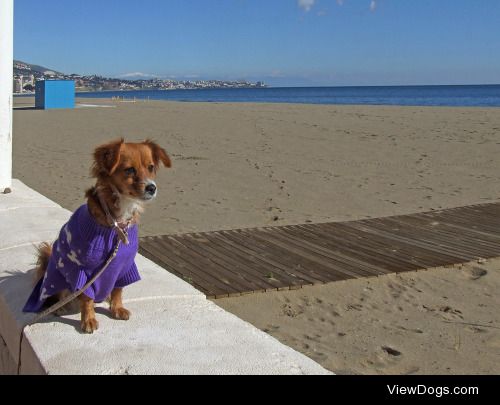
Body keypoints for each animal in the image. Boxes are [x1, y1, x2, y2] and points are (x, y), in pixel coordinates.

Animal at [33, 139, 171, 332]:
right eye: (130, 170)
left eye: (150, 167)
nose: (152, 187)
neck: (116, 225)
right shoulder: (83, 271)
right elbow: (87, 297)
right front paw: (88, 319)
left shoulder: (124, 266)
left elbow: (118, 289)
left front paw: (117, 308)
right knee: (59, 295)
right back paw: (60, 307)